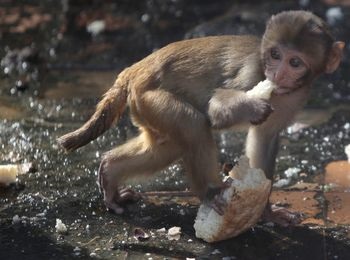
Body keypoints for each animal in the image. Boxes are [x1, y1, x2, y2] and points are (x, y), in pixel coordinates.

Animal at [56, 10, 344, 223]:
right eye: (275, 55)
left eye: (294, 62)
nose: (278, 74)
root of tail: (136, 68)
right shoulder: (252, 74)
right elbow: (217, 107)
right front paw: (253, 107)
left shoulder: (296, 97)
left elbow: (265, 137)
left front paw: (266, 211)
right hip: (150, 96)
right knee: (193, 125)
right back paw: (211, 192)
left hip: (143, 106)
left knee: (167, 146)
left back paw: (109, 172)